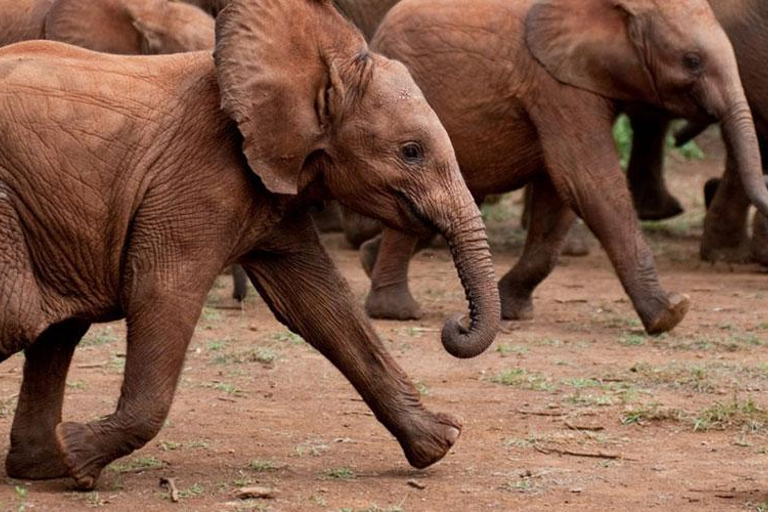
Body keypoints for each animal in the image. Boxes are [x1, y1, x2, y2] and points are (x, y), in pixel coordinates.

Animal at [0, 0, 500, 490]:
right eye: (411, 152)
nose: (454, 326)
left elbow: (320, 306)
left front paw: (439, 442)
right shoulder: (197, 176)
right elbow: (162, 293)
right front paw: (79, 456)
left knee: (55, 330)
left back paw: (39, 466)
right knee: (23, 318)